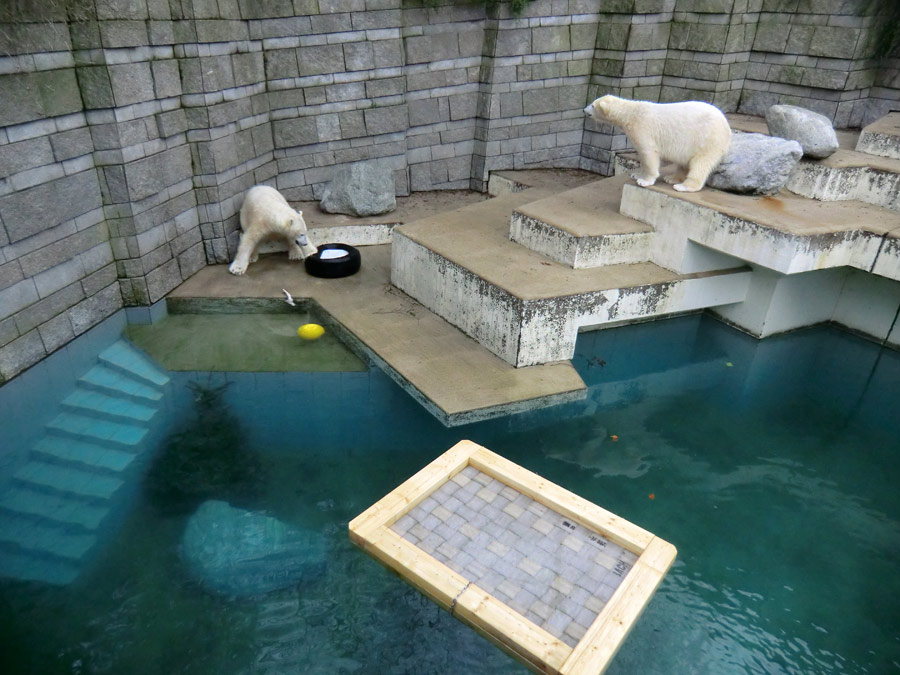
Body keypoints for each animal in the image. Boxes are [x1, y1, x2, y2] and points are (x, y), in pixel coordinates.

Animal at [584, 94, 732, 193]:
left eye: (593, 105)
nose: (584, 110)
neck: (630, 113)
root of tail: (727, 126)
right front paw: (636, 174)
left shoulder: (643, 128)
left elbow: (649, 153)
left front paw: (644, 181)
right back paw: (672, 178)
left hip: (707, 139)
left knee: (701, 164)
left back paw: (683, 186)